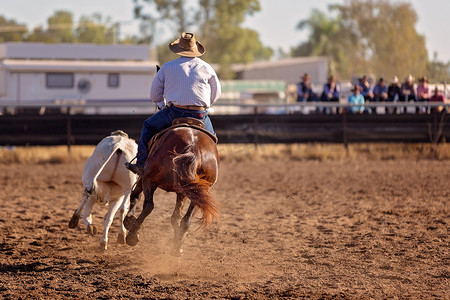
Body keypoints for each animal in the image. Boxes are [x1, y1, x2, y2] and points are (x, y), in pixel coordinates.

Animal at [121, 124, 220, 255]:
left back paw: (132, 236)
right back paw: (177, 247)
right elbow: (176, 217)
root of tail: (192, 147)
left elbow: (135, 196)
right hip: (198, 191)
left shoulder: (144, 177)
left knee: (148, 205)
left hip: (149, 179)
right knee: (186, 220)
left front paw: (129, 221)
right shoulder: (182, 192)